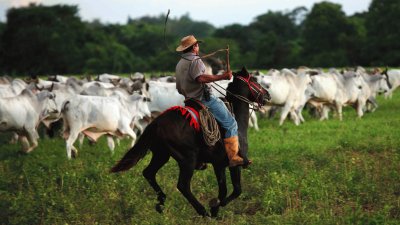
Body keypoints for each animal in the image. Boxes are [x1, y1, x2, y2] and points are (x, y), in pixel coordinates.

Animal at [111, 66, 270, 216]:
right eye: (255, 81)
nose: (267, 94)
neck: (236, 117)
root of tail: (157, 123)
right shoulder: (232, 164)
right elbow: (235, 190)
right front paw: (215, 206)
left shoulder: (219, 165)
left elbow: (225, 190)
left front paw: (215, 209)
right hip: (188, 159)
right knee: (183, 185)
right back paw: (202, 211)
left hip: (161, 155)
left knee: (149, 173)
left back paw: (161, 201)